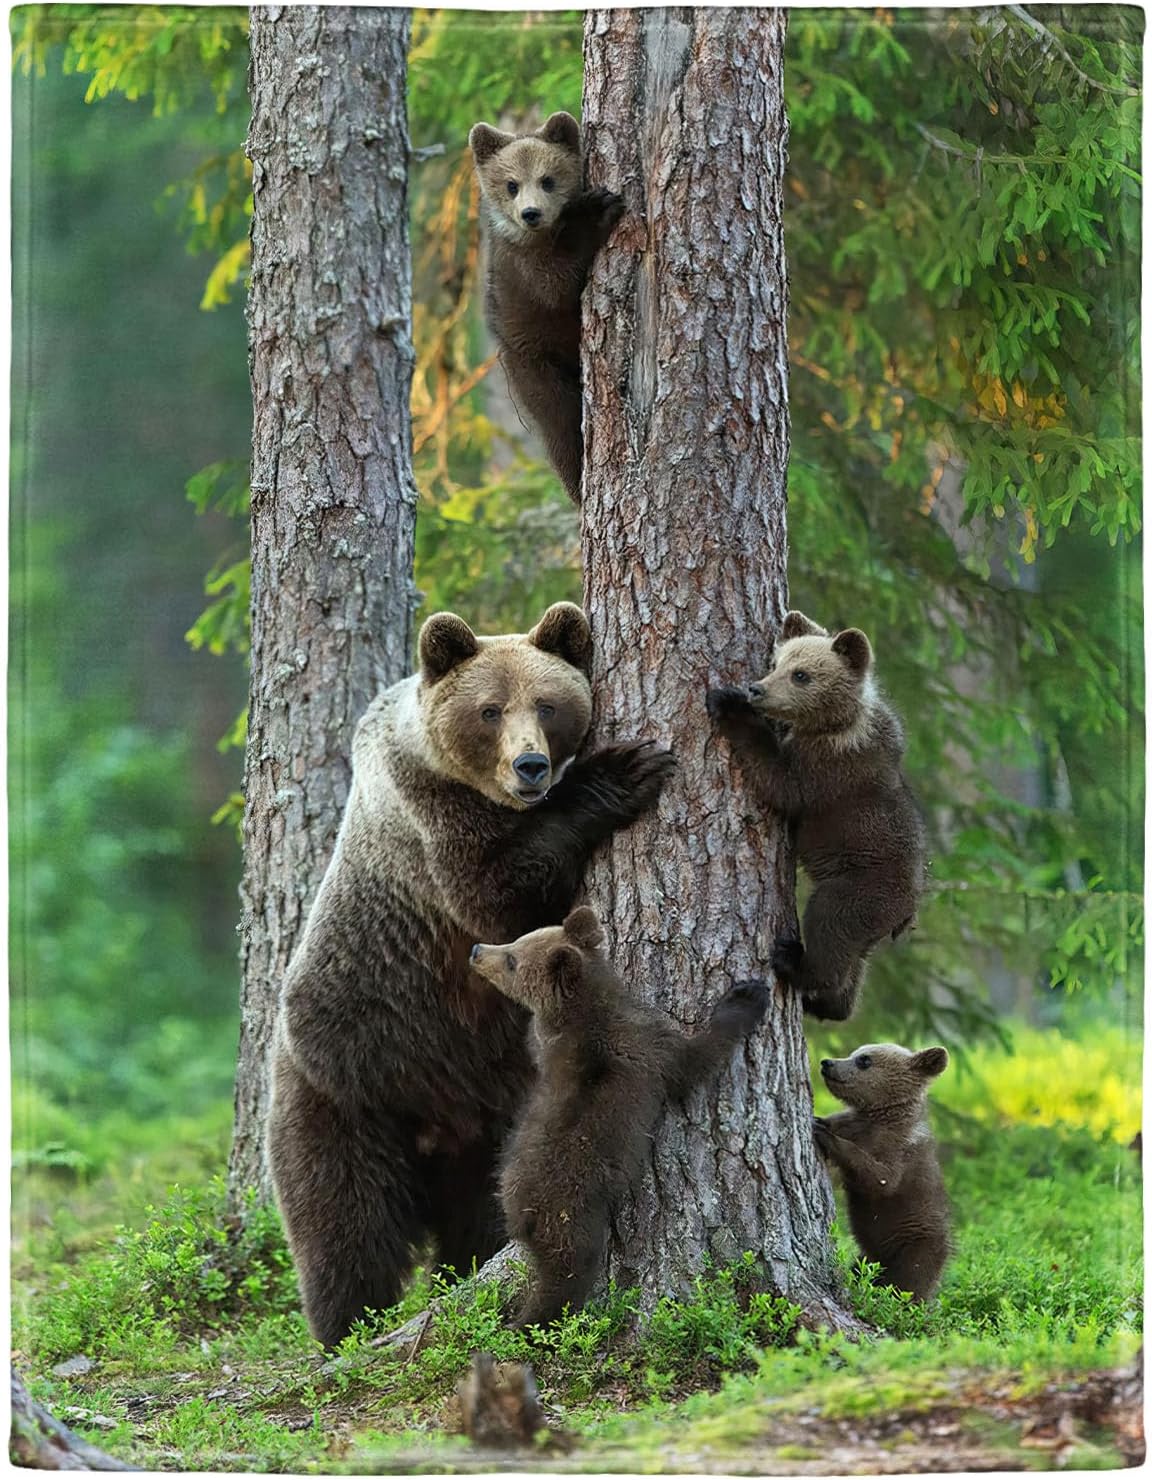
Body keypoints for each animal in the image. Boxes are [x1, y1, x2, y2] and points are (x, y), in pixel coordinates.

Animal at [266, 601, 675, 1348]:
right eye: (490, 710)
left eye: (547, 704)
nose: (531, 765)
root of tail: (438, 1127)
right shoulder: (431, 822)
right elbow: (496, 897)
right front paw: (622, 772)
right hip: (346, 1086)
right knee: (344, 1225)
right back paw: (346, 1329)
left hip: (493, 1123)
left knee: (479, 1220)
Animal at [469, 110, 624, 502]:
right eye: (511, 184)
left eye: (548, 179)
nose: (531, 213)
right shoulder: (523, 269)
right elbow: (556, 285)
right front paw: (594, 212)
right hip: (535, 366)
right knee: (562, 426)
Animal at [470, 906, 771, 1328]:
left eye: (513, 953)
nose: (477, 950)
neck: (588, 1008)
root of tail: (520, 1214)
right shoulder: (649, 1051)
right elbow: (695, 1060)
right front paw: (746, 997)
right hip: (571, 1217)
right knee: (566, 1275)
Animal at [706, 609, 926, 1022]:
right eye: (776, 663)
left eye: (801, 674)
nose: (756, 689)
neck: (838, 722)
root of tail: (907, 913)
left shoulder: (830, 770)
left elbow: (783, 785)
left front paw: (728, 703)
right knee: (854, 963)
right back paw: (830, 1005)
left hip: (860, 888)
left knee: (831, 926)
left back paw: (793, 962)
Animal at [815, 1042, 952, 1302]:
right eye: (854, 1053)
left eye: (864, 1060)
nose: (827, 1062)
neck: (881, 1117)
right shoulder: (853, 1123)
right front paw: (818, 1120)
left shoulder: (900, 1151)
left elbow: (880, 1178)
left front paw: (822, 1134)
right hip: (869, 1257)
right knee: (861, 1269)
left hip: (917, 1245)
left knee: (910, 1283)